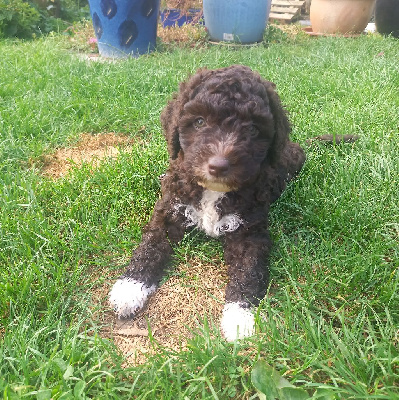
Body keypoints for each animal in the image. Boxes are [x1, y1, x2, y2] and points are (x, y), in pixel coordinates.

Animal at [109, 65, 306, 340]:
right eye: (199, 122)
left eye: (253, 129)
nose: (218, 166)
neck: (213, 191)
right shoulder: (169, 210)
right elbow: (150, 245)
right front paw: (129, 288)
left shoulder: (250, 231)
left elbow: (248, 271)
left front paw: (240, 318)